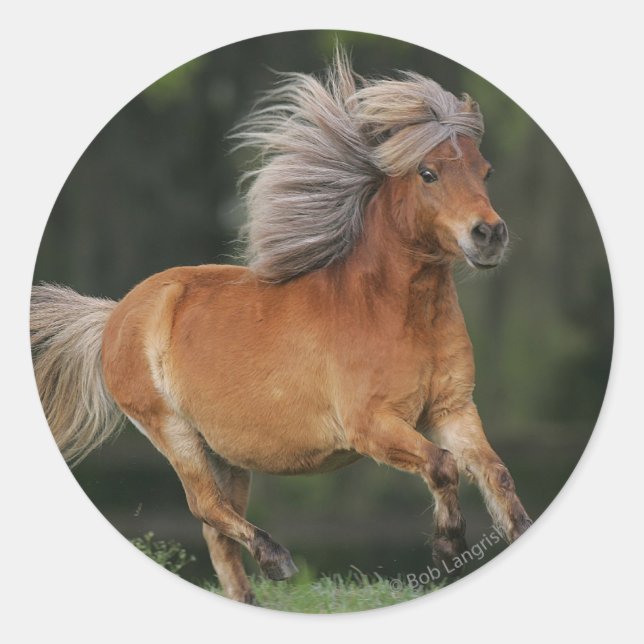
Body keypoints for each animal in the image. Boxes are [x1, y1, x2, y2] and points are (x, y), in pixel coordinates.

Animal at [31, 48, 532, 605]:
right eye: (428, 173)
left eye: (485, 171)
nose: (489, 235)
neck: (398, 314)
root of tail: (116, 314)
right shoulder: (371, 426)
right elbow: (442, 465)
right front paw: (448, 546)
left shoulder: (452, 409)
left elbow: (497, 476)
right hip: (172, 430)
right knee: (205, 507)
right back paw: (276, 559)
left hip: (224, 451)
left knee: (217, 529)